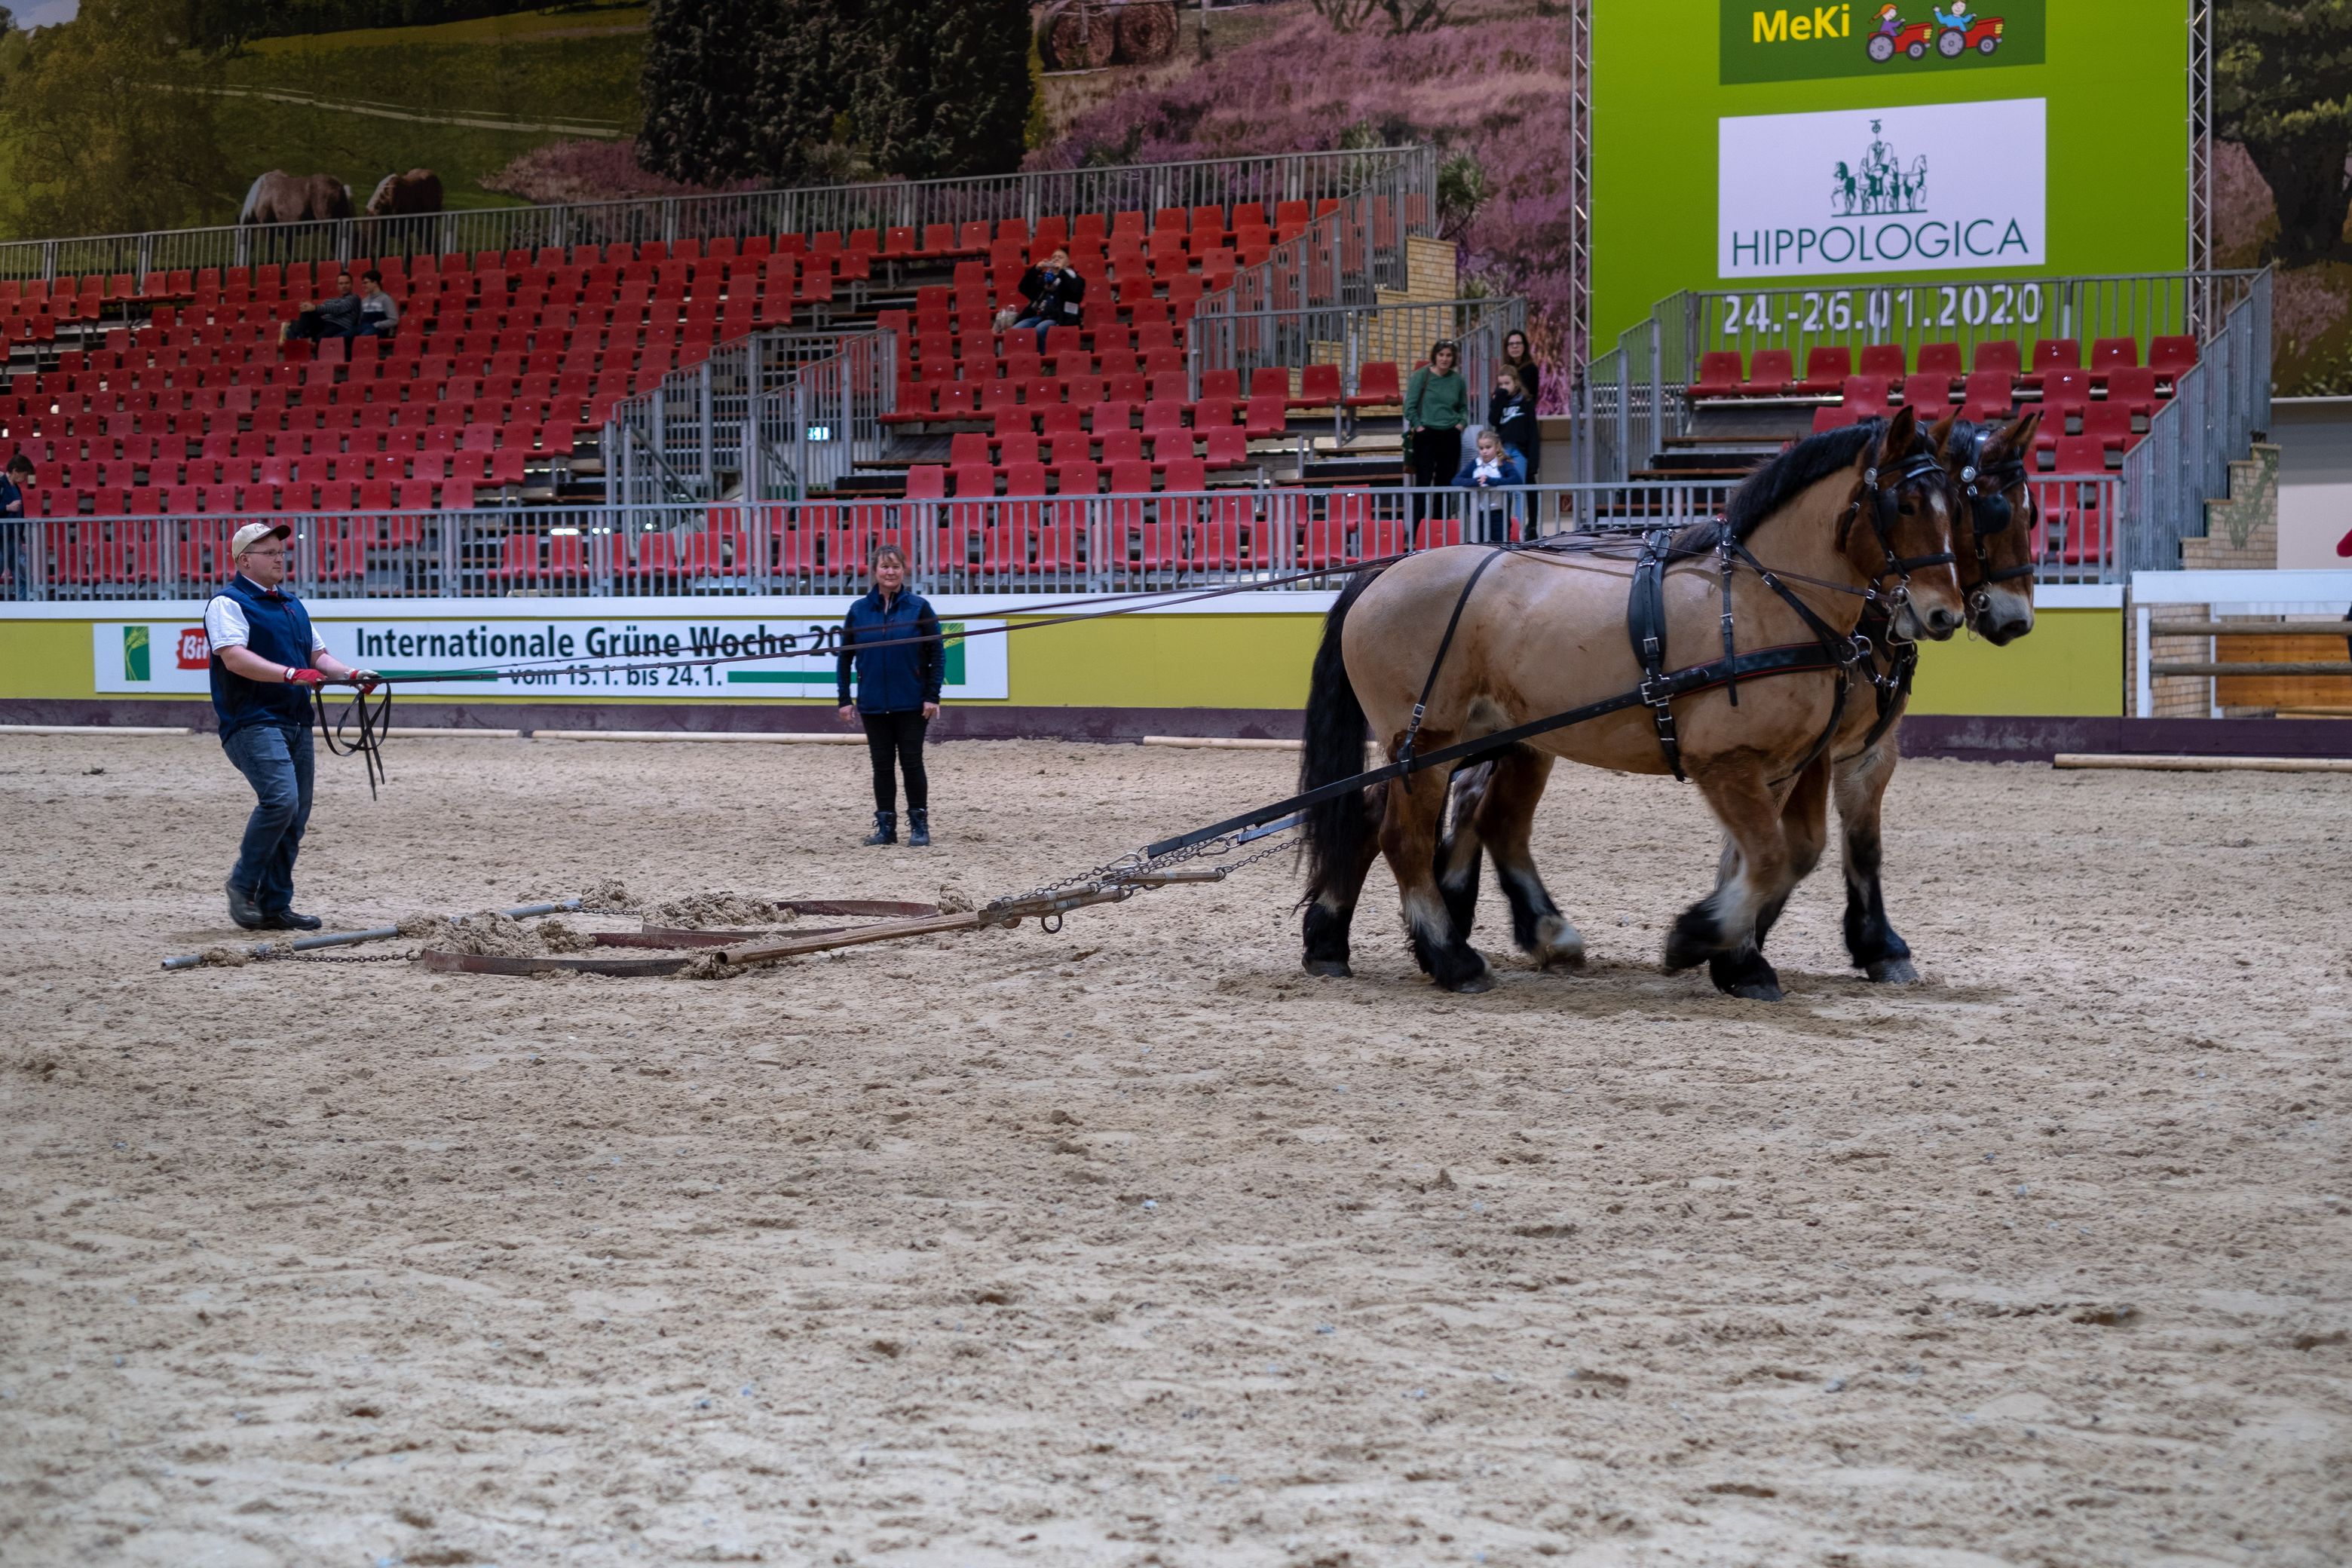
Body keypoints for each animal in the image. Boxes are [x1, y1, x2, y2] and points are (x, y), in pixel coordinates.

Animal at [1298, 411, 1975, 1001]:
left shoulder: (1786, 765)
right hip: (1429, 744)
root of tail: (1385, 571)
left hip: (1463, 743)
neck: (1763, 603)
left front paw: (1737, 958)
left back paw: (1334, 940)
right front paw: (1698, 939)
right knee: (1405, 840)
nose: (1945, 614)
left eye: (1959, 507)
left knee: (1386, 815)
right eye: (1905, 505)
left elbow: (1776, 857)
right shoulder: (1725, 761)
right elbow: (1767, 856)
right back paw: (1451, 957)